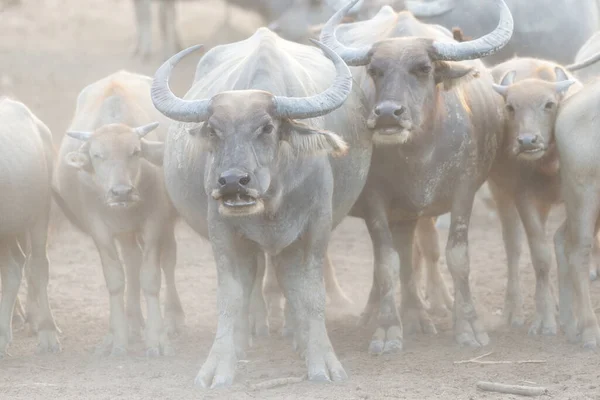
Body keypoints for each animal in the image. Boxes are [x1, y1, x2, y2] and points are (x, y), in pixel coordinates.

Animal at [53, 69, 180, 356]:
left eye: (135, 151)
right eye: (97, 155)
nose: (121, 192)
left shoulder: (154, 221)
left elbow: (151, 277)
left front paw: (157, 340)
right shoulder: (99, 228)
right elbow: (115, 280)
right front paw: (118, 340)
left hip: (163, 225)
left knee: (167, 261)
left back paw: (172, 321)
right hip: (124, 231)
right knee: (131, 263)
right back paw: (129, 327)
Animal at [150, 31, 376, 384]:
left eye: (267, 127)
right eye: (214, 129)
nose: (232, 181)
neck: (272, 199)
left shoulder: (315, 228)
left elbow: (311, 293)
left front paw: (322, 361)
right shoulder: (223, 232)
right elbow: (231, 296)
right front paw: (219, 366)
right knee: (255, 279)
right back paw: (248, 334)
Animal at [322, 0, 512, 350]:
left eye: (423, 68)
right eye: (375, 70)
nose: (387, 114)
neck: (418, 153)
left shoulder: (464, 191)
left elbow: (457, 257)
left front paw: (469, 326)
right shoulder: (375, 201)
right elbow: (386, 263)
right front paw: (386, 330)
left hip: (409, 214)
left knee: (409, 256)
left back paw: (416, 317)